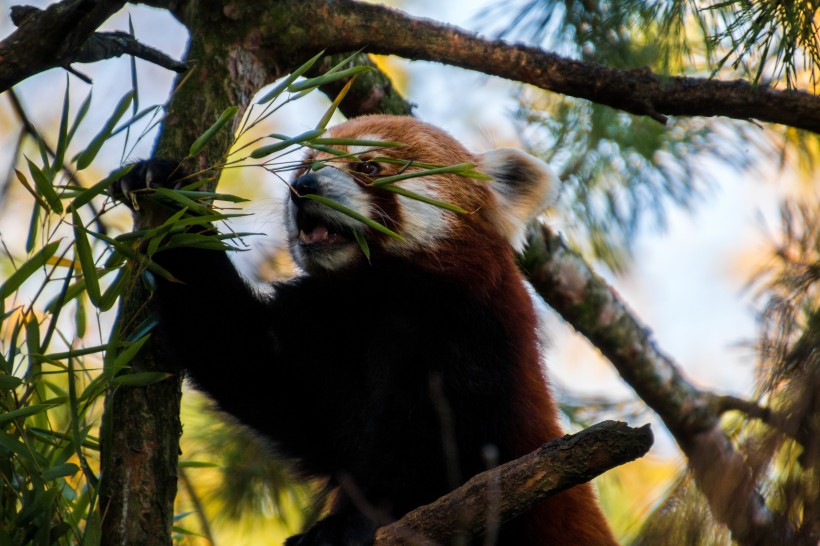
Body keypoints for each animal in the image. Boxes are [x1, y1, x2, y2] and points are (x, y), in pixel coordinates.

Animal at [112, 112, 620, 540]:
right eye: (306, 165)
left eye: (370, 166)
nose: (304, 186)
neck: (374, 293)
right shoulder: (324, 337)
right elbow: (246, 358)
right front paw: (167, 194)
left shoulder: (473, 340)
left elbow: (430, 453)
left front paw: (350, 525)